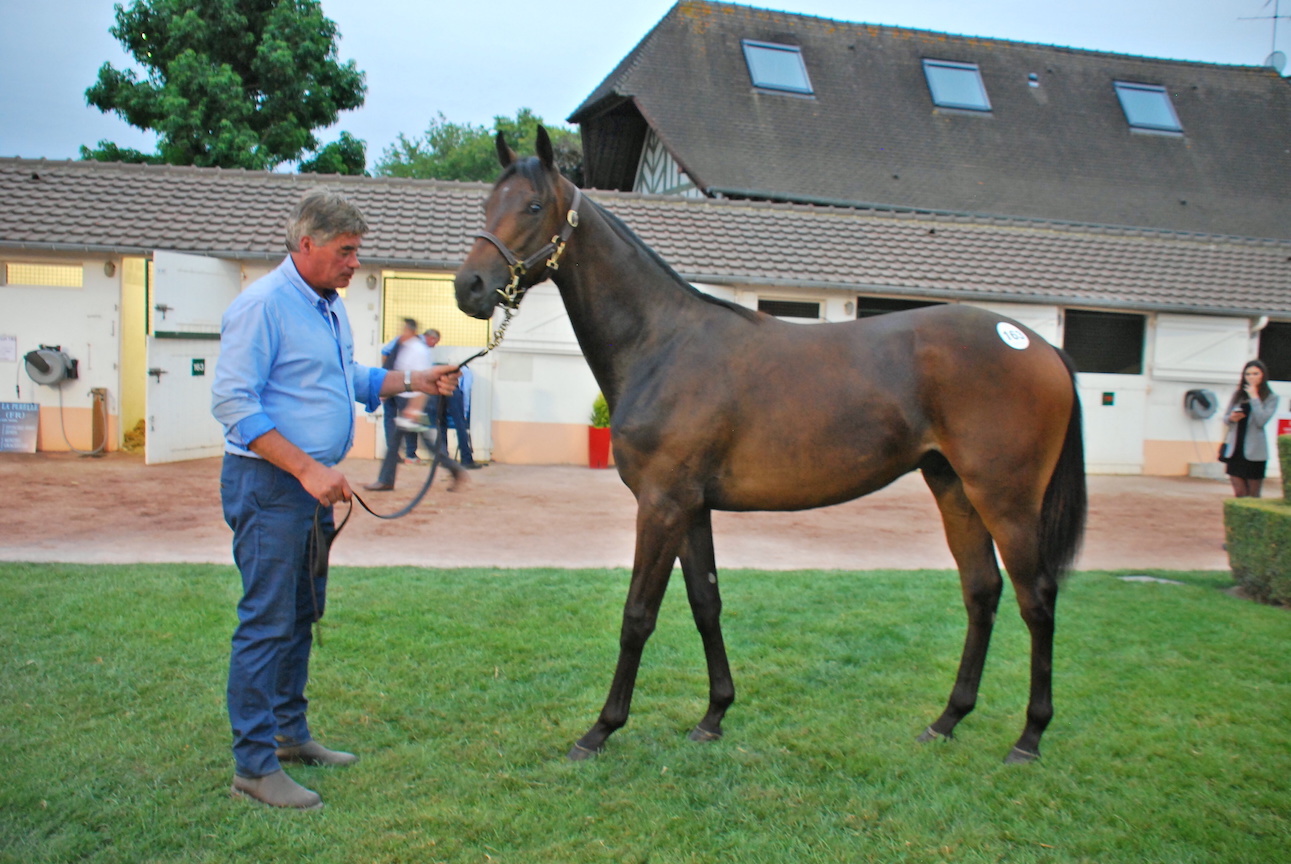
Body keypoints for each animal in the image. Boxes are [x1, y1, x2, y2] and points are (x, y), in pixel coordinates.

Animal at [449, 126, 1084, 759]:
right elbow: (705, 603)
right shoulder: (691, 508)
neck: (662, 343)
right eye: (485, 205)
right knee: (982, 591)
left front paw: (601, 729)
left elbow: (638, 614)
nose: (469, 287)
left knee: (1037, 598)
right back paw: (947, 720)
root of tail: (1038, 345)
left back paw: (1030, 736)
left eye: (533, 206)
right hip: (953, 488)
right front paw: (713, 715)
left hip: (1006, 499)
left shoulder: (661, 505)